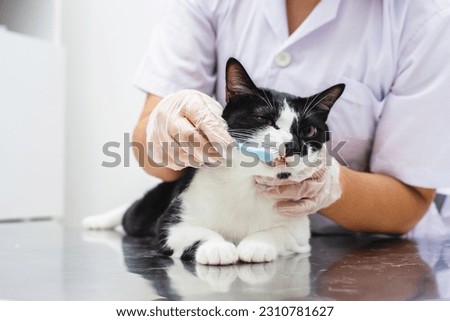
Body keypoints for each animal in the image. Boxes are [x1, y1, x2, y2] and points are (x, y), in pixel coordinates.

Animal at [83, 57, 344, 264]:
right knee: (129, 213)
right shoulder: (172, 224)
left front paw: (256, 244)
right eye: (265, 119)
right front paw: (216, 248)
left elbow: (279, 234)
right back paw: (97, 221)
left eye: (308, 131)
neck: (246, 184)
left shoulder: (299, 232)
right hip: (145, 212)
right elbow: (194, 233)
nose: (292, 145)